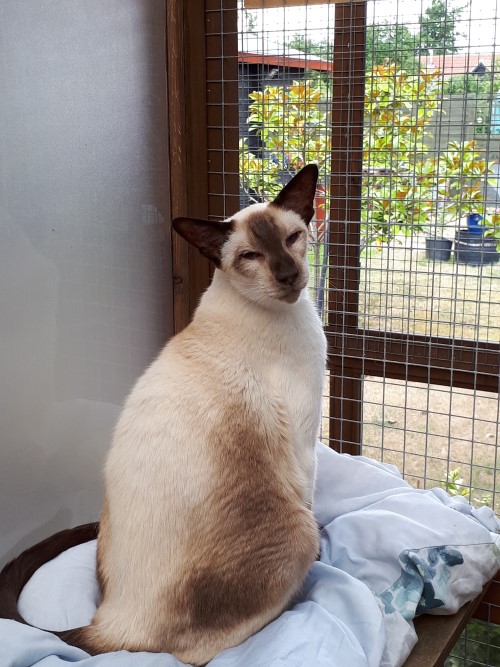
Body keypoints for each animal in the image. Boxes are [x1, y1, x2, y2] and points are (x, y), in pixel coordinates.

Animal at [0, 164, 328, 664]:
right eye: (251, 255)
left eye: (293, 238)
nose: (289, 275)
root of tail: (114, 623)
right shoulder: (305, 443)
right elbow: (313, 497)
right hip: (297, 532)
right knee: (203, 651)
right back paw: (300, 598)